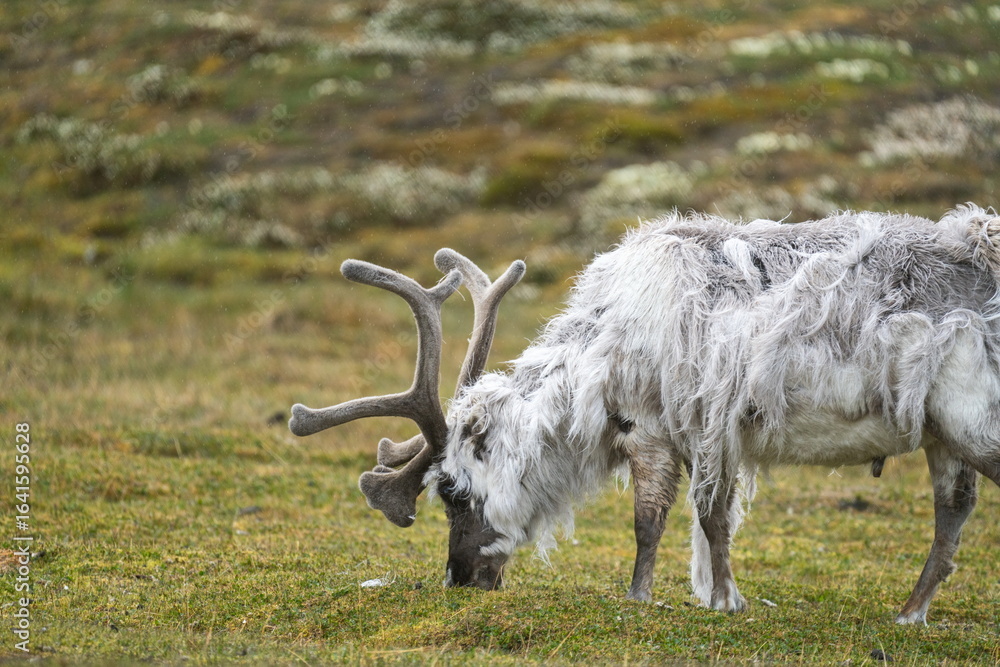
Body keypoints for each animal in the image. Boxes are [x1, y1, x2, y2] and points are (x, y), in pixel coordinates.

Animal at [290, 204, 1000, 625]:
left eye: (452, 492)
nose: (461, 581)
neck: (595, 360)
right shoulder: (697, 436)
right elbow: (694, 522)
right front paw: (702, 595)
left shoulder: (664, 431)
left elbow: (668, 521)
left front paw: (687, 599)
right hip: (944, 434)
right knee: (953, 512)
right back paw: (910, 612)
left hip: (974, 423)